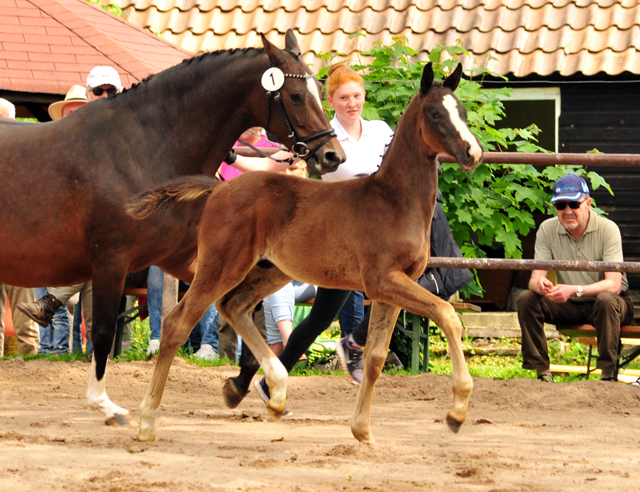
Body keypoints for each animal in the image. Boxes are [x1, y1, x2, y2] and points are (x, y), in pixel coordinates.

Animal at [135, 61, 482, 442]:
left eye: (462, 112)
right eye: (435, 113)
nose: (473, 153)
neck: (394, 200)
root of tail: (218, 189)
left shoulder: (391, 289)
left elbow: (376, 358)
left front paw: (362, 430)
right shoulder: (383, 281)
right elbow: (447, 315)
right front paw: (457, 412)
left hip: (270, 271)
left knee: (233, 306)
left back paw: (269, 393)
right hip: (221, 266)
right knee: (177, 323)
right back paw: (147, 421)